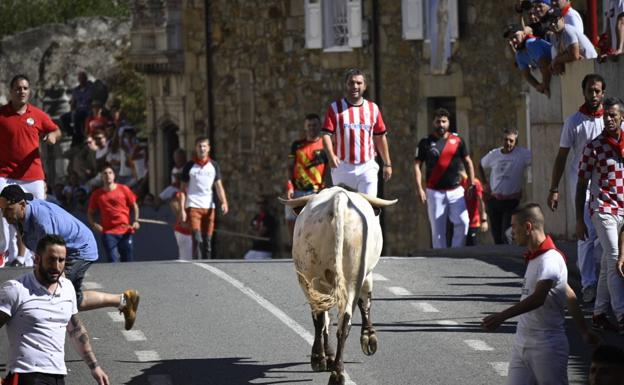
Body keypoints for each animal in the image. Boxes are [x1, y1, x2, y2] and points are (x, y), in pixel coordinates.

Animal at [280, 184, 398, 382]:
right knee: (343, 321)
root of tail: (339, 198)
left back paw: (323, 360)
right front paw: (369, 338)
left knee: (323, 318)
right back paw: (335, 370)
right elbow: (365, 303)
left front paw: (327, 356)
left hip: (314, 278)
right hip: (350, 277)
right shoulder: (366, 276)